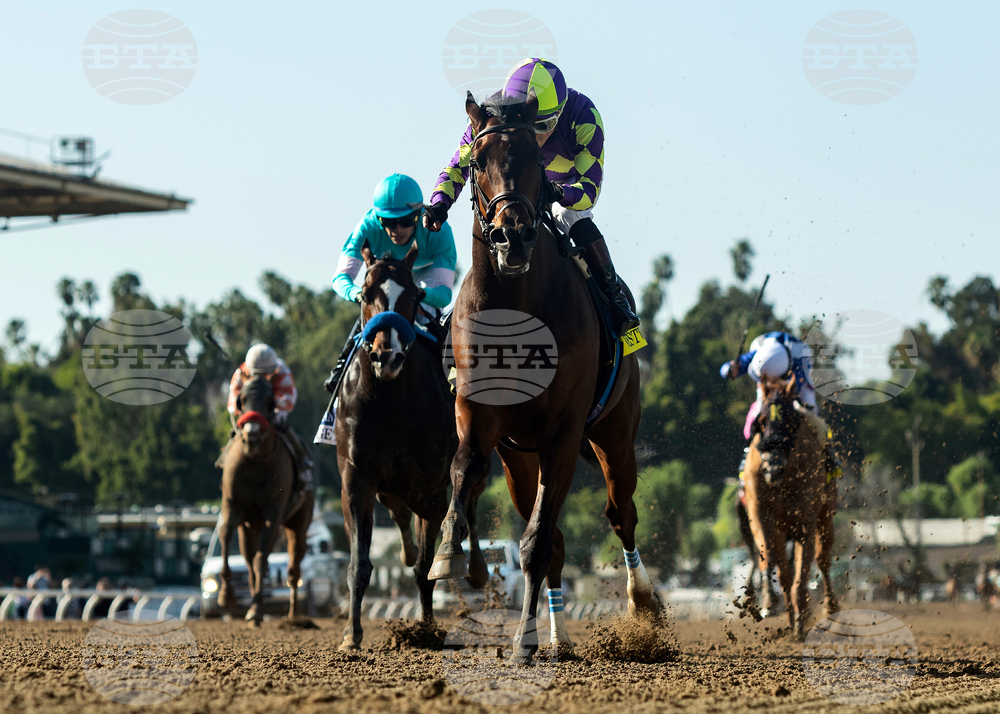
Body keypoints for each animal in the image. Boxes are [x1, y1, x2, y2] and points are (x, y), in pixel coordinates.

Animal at [218, 374, 314, 624]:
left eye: (271, 402)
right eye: (242, 399)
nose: (251, 434)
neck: (256, 461)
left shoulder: (274, 511)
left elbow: (262, 559)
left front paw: (256, 609)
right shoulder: (232, 505)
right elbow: (226, 536)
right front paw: (227, 596)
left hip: (299, 521)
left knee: (293, 565)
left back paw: (293, 613)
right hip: (249, 527)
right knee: (248, 558)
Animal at [335, 240, 478, 651]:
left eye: (414, 295)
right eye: (366, 293)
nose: (388, 354)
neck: (390, 401)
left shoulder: (430, 487)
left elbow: (426, 568)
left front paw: (426, 630)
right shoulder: (357, 479)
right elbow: (359, 563)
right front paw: (351, 636)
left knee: (469, 505)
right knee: (399, 514)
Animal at [426, 91, 658, 664]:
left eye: (535, 160)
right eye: (476, 162)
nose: (512, 237)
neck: (517, 305)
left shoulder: (563, 433)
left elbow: (535, 542)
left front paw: (521, 644)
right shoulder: (478, 416)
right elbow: (464, 468)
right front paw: (449, 553)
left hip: (614, 436)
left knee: (620, 514)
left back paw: (643, 602)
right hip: (519, 459)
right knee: (555, 537)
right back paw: (557, 636)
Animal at [742, 374, 838, 637]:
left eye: (790, 420)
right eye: (762, 421)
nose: (773, 467)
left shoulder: (806, 518)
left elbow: (803, 570)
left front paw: (801, 616)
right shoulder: (760, 512)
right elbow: (771, 558)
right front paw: (770, 601)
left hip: (826, 513)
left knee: (823, 559)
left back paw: (830, 607)